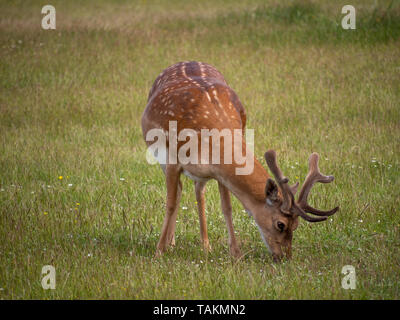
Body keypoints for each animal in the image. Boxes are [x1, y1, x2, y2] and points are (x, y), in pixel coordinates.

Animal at [141, 61, 338, 262]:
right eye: (281, 224)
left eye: (296, 225)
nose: (285, 256)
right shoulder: (172, 159)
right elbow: (170, 204)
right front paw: (158, 252)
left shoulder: (219, 172)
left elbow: (227, 207)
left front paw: (236, 253)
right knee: (180, 191)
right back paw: (170, 243)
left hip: (201, 174)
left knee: (198, 192)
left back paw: (204, 246)